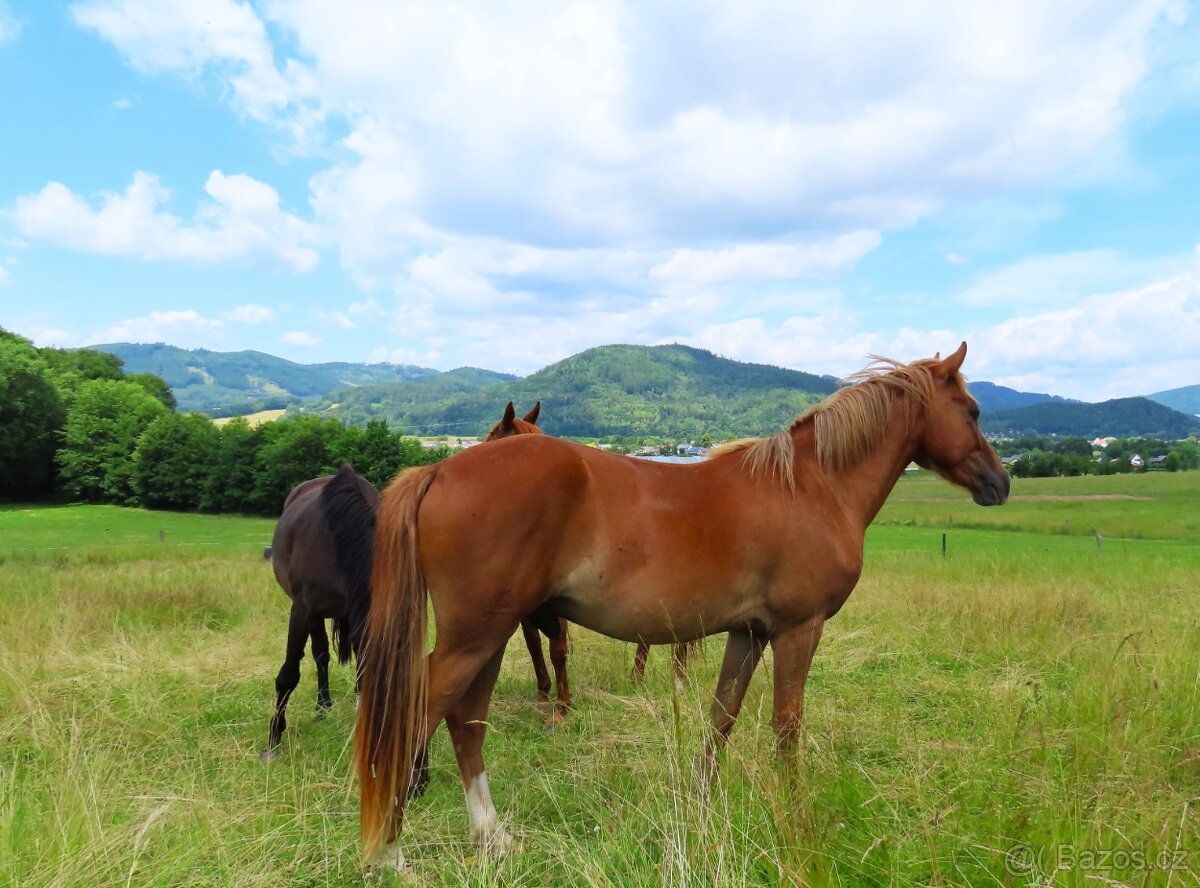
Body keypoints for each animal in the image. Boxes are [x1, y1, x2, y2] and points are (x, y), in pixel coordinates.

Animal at [260, 462, 380, 762]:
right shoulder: (302, 610)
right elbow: (289, 675)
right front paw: (273, 739)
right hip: (313, 614)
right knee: (321, 653)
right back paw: (323, 705)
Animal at [354, 343, 1009, 869]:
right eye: (973, 412)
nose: (999, 483)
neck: (812, 486)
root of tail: (441, 468)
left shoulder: (749, 633)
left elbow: (721, 719)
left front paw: (701, 807)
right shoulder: (799, 630)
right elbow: (786, 727)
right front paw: (797, 820)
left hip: (490, 635)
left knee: (466, 723)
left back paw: (493, 838)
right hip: (473, 637)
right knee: (421, 716)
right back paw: (390, 855)